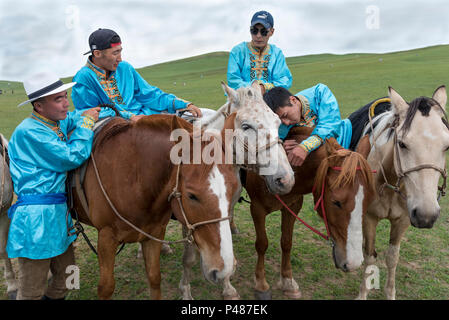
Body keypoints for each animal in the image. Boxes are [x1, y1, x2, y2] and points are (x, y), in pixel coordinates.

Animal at [72, 115, 242, 300]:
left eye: (233, 189)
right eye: (192, 195)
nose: (225, 269)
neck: (132, 178)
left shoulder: (154, 234)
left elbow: (154, 278)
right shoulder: (106, 237)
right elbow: (106, 287)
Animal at [243, 125, 372, 300]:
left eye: (368, 201)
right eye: (336, 202)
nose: (354, 262)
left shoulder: (293, 207)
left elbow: (287, 242)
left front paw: (287, 280)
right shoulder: (257, 209)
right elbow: (262, 244)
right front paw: (261, 284)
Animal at [354, 85, 448, 300]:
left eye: (446, 146)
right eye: (402, 143)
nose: (426, 215)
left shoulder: (404, 220)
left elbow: (392, 258)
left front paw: (390, 293)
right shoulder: (369, 218)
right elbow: (370, 257)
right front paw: (363, 293)